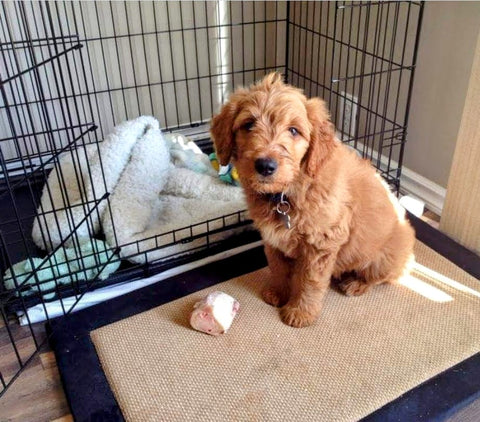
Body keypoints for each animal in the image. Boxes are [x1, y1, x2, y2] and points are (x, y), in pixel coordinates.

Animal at [210, 74, 416, 328]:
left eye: (294, 130)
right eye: (248, 124)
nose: (265, 166)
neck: (288, 191)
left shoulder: (322, 243)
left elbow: (310, 281)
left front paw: (300, 313)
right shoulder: (273, 239)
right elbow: (277, 267)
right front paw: (278, 293)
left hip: (384, 257)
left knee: (380, 277)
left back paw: (356, 284)